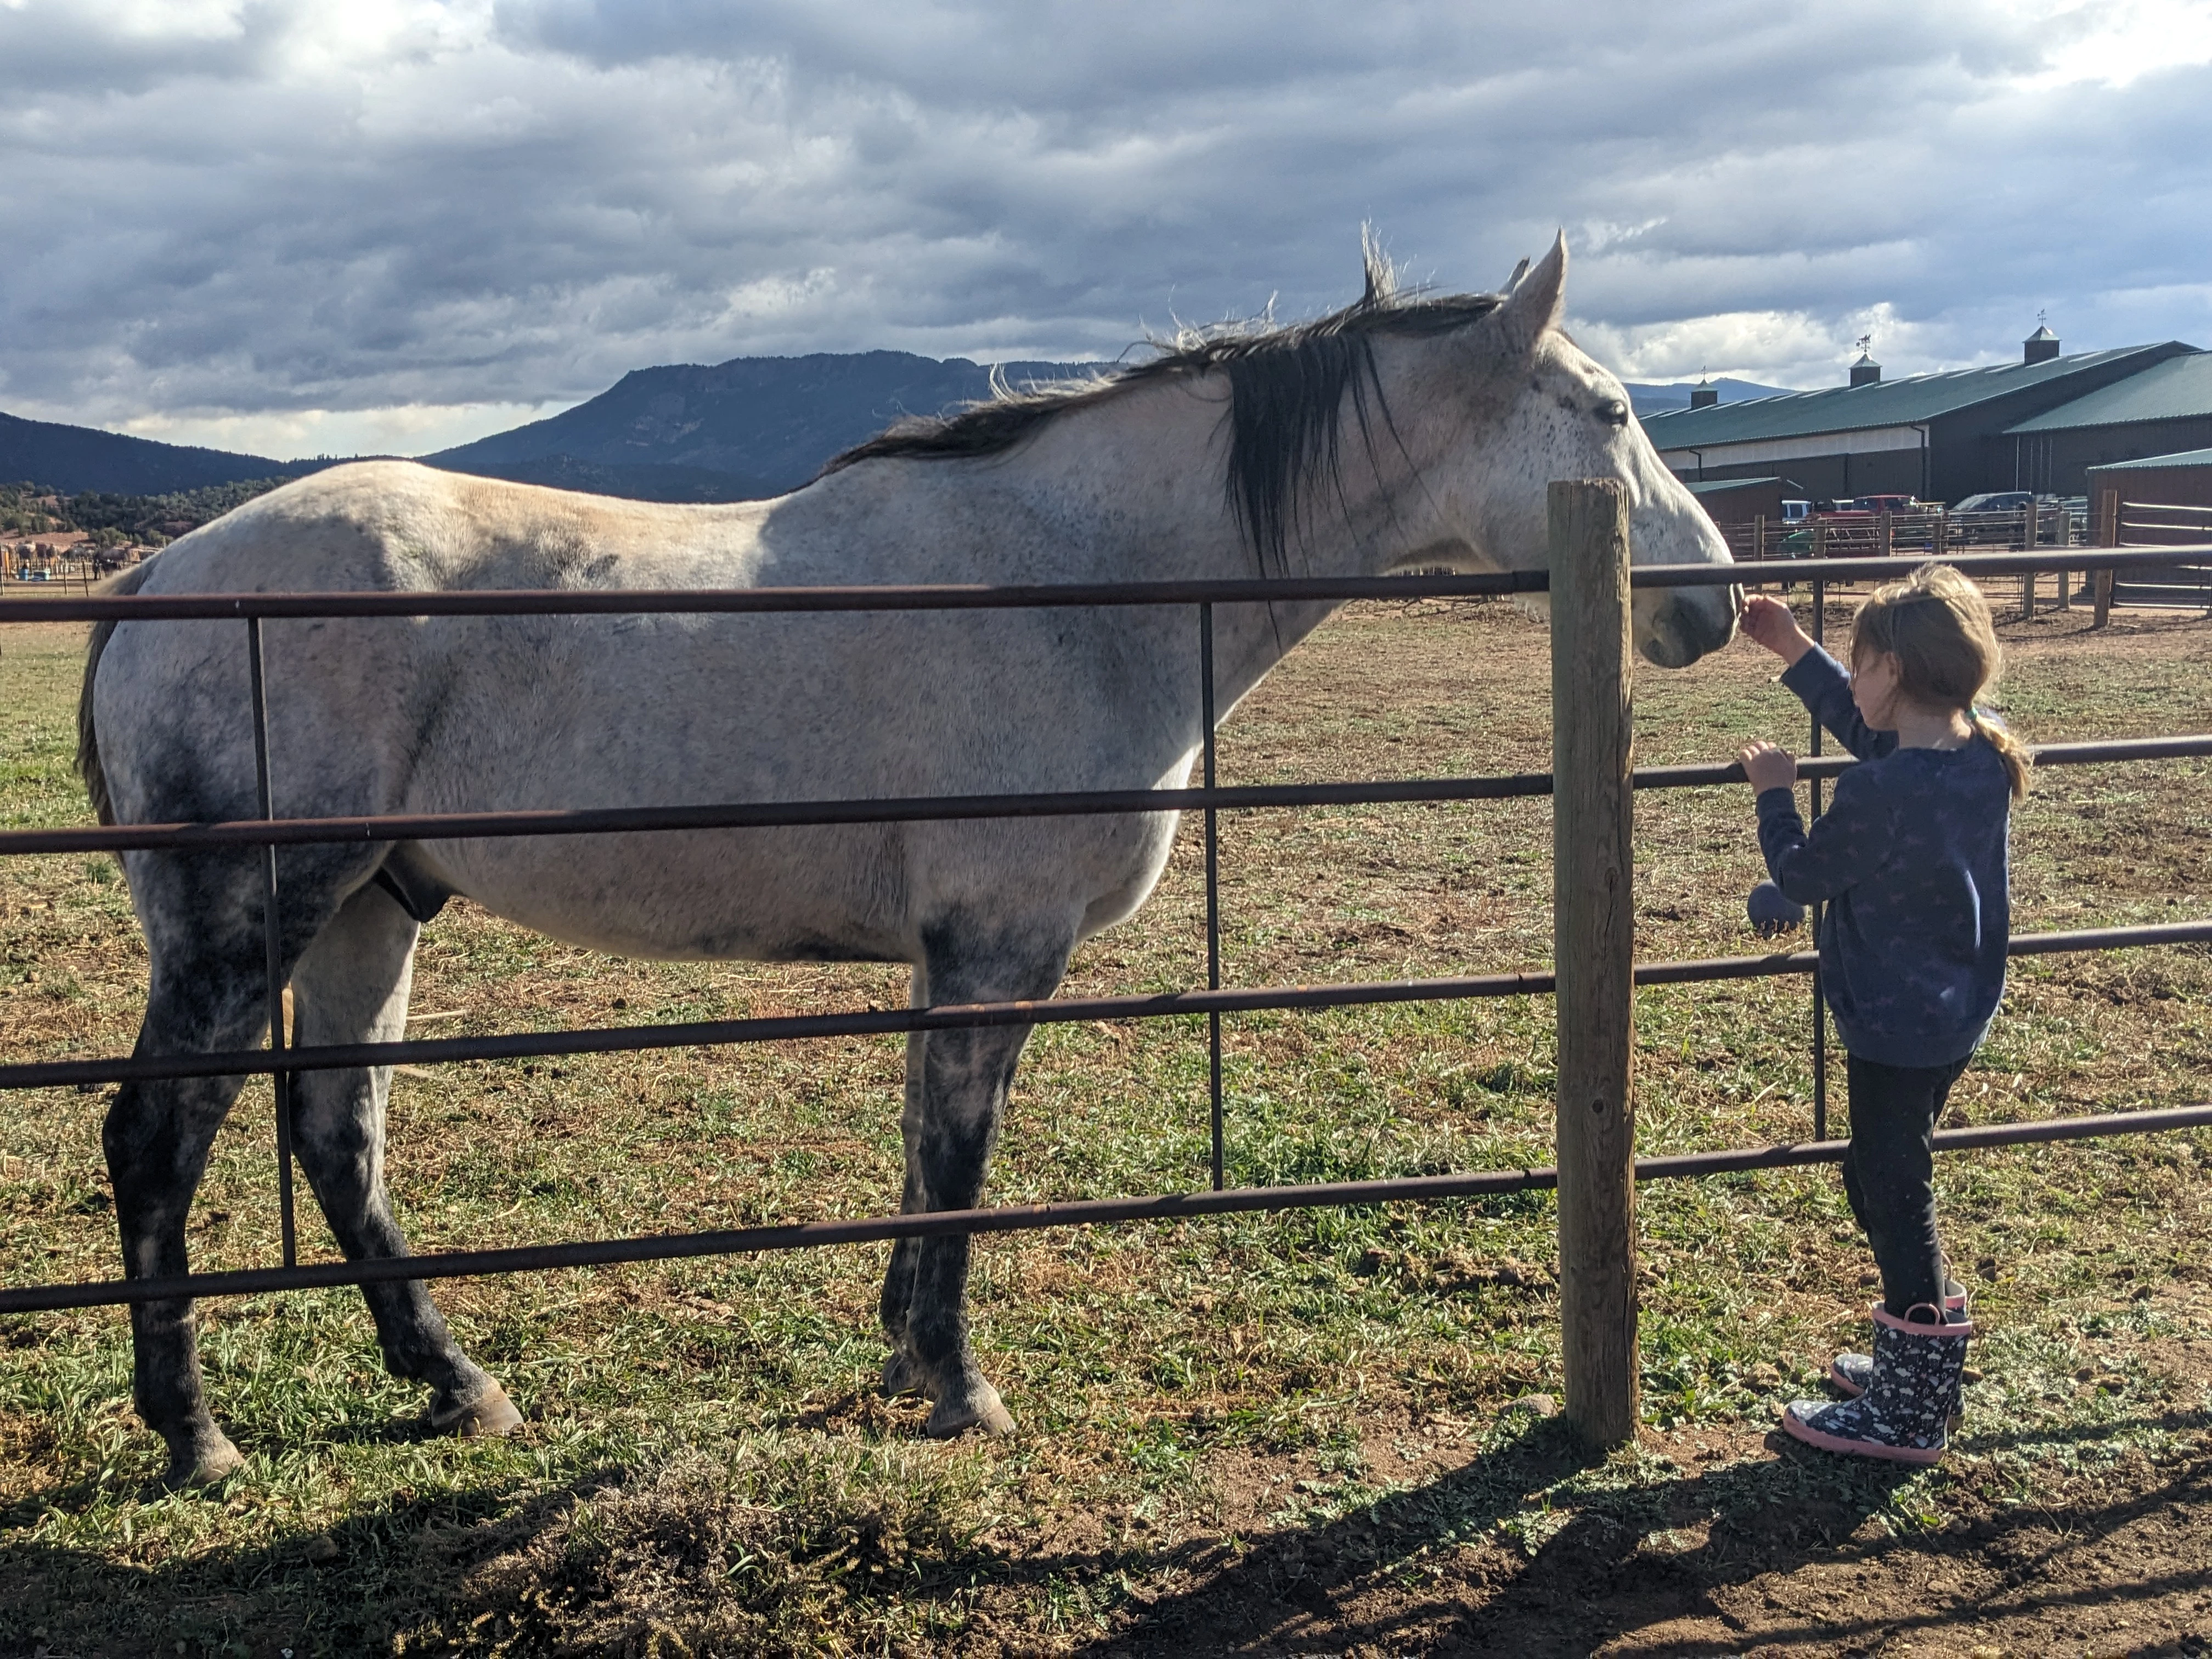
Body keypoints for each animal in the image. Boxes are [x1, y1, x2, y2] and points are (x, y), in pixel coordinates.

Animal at [76, 234, 1738, 1486]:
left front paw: (898, 1356)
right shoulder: (995, 945)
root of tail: (161, 575)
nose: (1714, 605)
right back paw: (198, 1438)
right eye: (1607, 413)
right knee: (158, 1142)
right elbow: (957, 1161)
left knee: (337, 1137)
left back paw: (455, 1381)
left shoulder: (955, 955)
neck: (1076, 581)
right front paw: (954, 1381)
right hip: (252, 921)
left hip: (373, 906)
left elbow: (925, 1156)